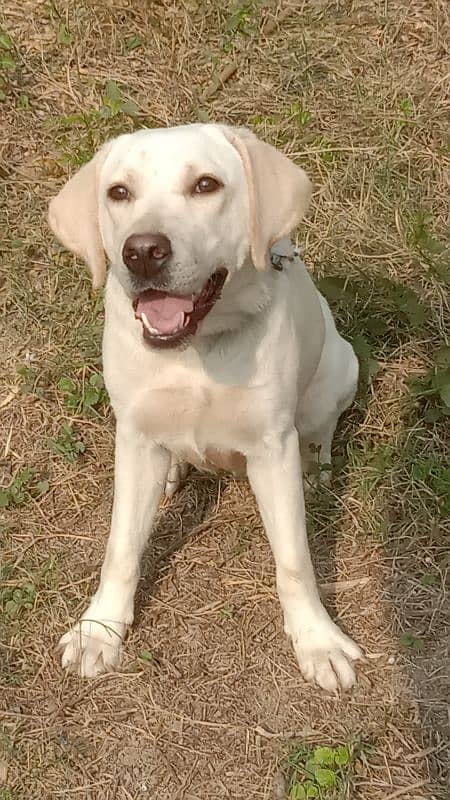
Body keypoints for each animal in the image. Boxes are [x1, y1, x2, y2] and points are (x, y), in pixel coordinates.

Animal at [48, 122, 362, 692]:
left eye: (206, 185)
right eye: (119, 192)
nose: (142, 251)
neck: (195, 349)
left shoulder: (270, 446)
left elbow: (294, 557)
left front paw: (318, 640)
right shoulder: (136, 437)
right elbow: (120, 547)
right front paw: (99, 630)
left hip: (338, 370)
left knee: (319, 431)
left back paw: (313, 469)